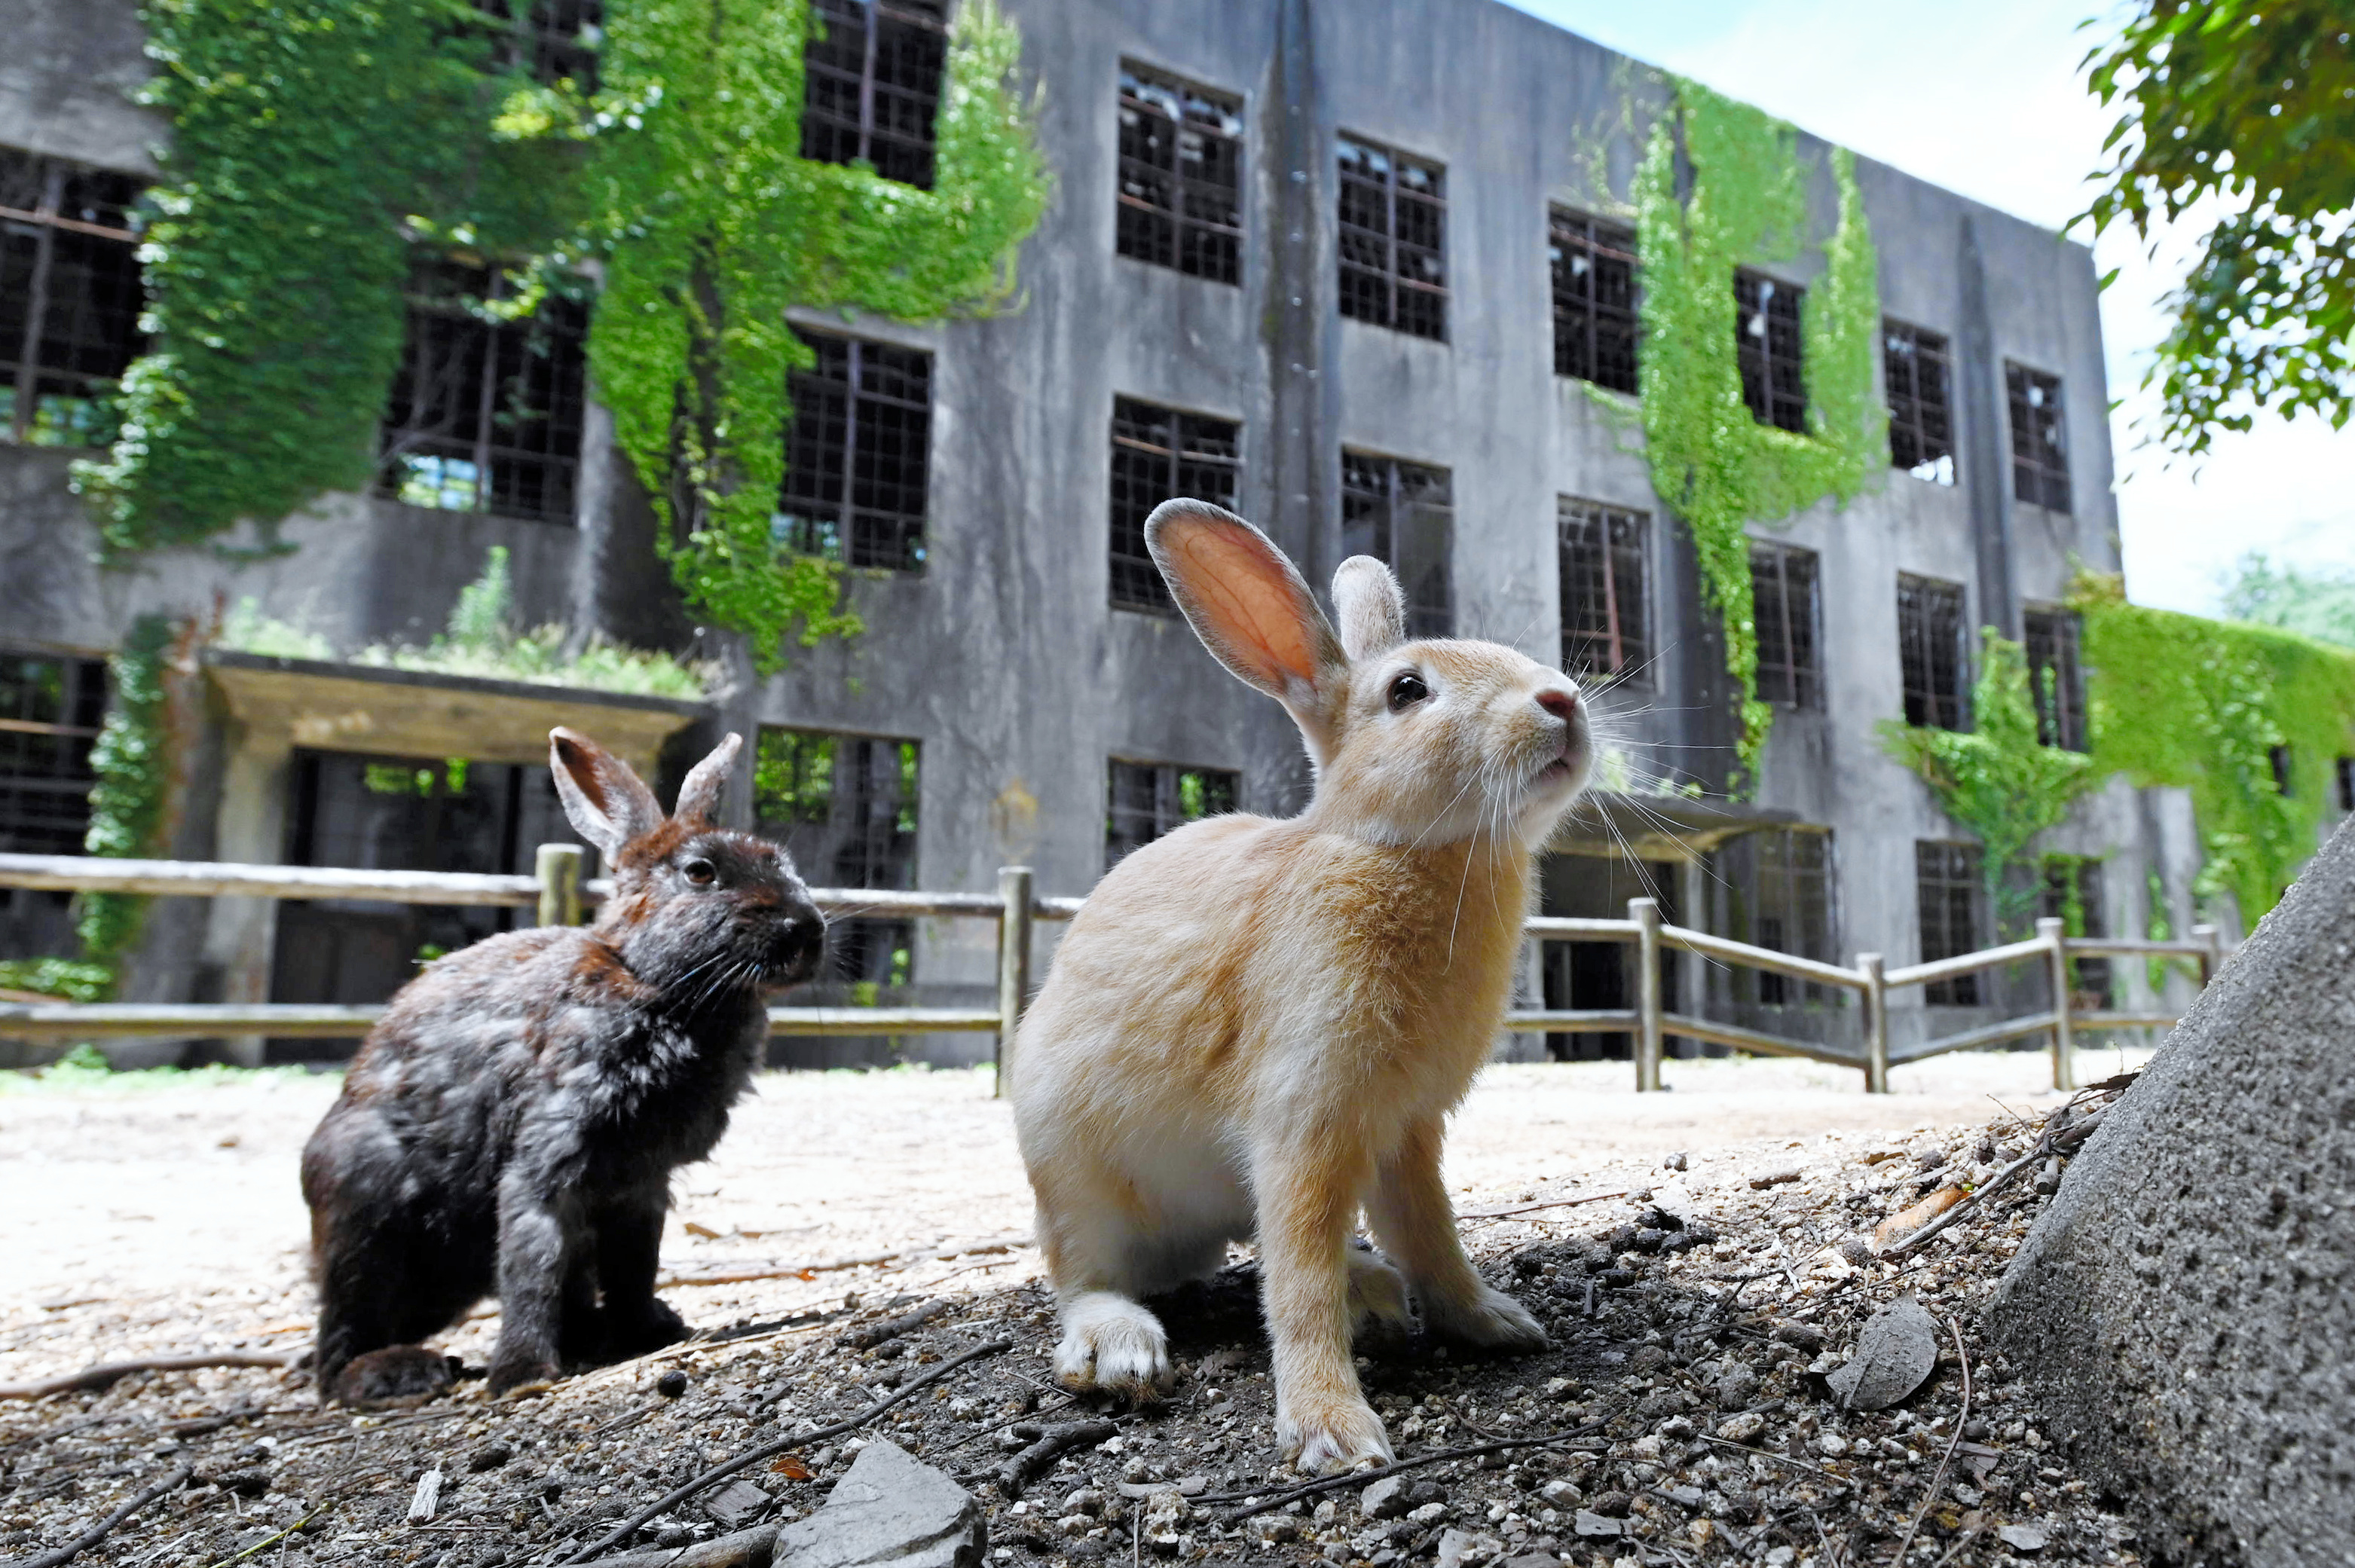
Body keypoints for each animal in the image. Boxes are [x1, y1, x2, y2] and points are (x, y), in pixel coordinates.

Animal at [301, 725, 829, 1393]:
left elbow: (637, 1262)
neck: (651, 983)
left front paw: (645, 1332)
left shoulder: (641, 1184)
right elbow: (534, 1258)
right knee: (339, 1344)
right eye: (700, 872)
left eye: (778, 858)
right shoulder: (548, 1155)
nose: (805, 928)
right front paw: (524, 1373)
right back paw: (395, 1373)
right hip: (367, 1217)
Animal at [1012, 497, 1601, 1469]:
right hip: (1069, 1170)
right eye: (1406, 691)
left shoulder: (1405, 1128)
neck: (1394, 847)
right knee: (1084, 1273)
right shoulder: (1307, 1112)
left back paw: (1370, 1285)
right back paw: (1119, 1346)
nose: (1560, 701)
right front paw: (1334, 1430)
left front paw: (1493, 1322)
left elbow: (1428, 1230)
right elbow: (1297, 1277)